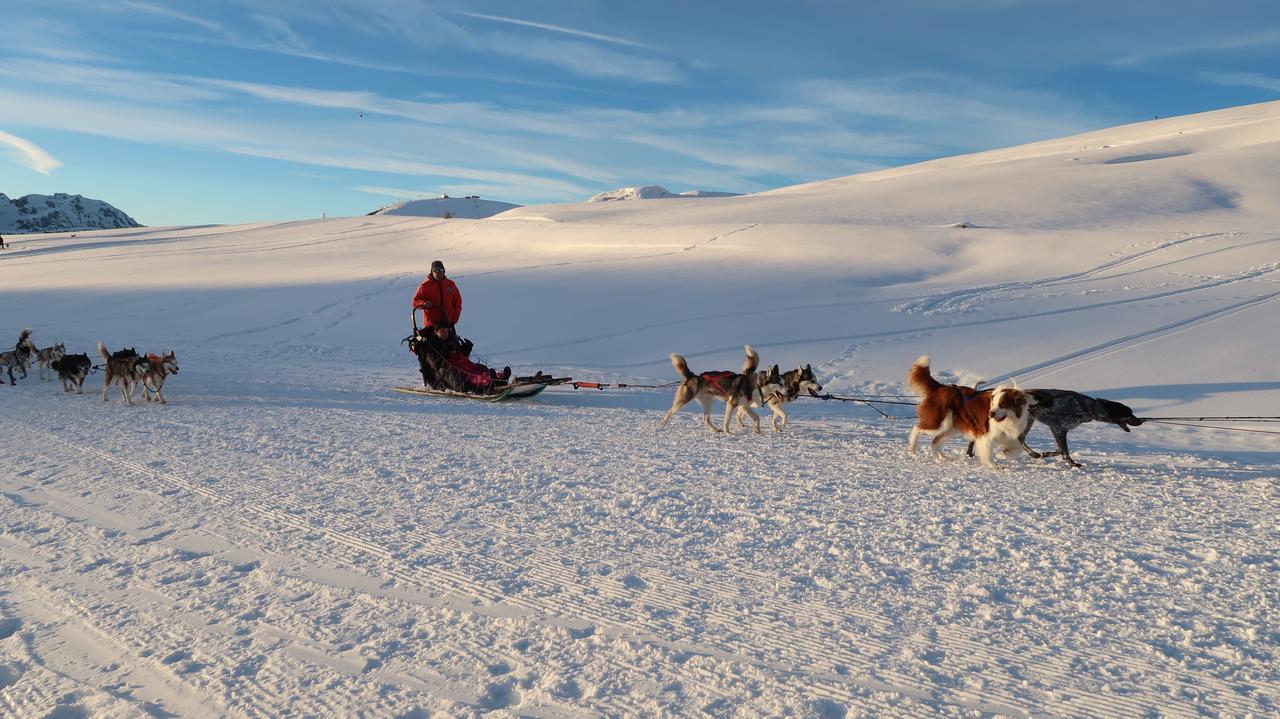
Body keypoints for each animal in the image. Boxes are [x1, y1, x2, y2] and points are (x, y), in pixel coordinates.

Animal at [906, 355, 1034, 468]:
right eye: (992, 404)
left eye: (1002, 404)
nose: (990, 414)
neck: (1008, 420)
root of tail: (941, 387)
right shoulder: (985, 434)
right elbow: (988, 452)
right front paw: (994, 466)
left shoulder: (1010, 435)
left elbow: (1017, 448)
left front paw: (1003, 454)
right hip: (938, 422)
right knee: (917, 428)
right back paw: (912, 449)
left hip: (951, 428)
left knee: (935, 440)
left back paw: (941, 457)